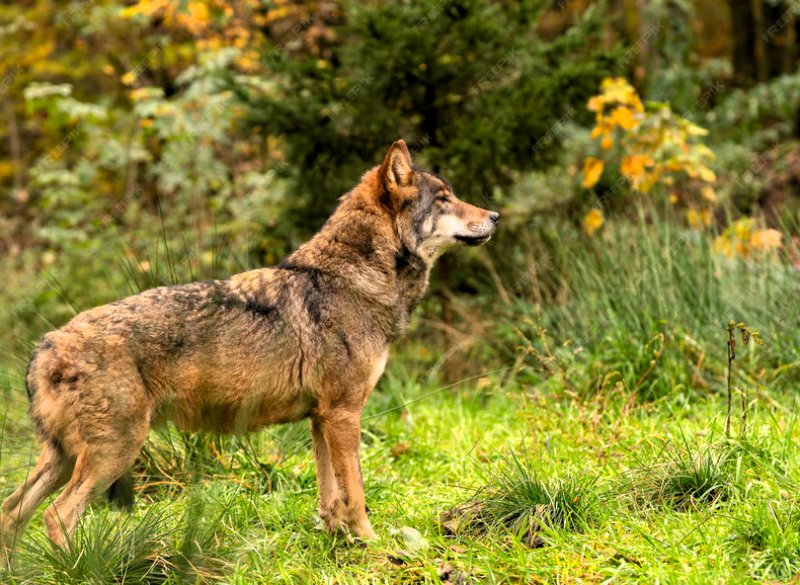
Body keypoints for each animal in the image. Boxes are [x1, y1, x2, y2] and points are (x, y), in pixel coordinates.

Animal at [0, 140, 498, 558]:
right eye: (444, 199)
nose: (495, 215)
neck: (353, 280)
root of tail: (45, 345)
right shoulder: (343, 414)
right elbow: (356, 494)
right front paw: (370, 545)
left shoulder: (321, 419)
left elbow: (330, 495)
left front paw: (337, 541)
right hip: (113, 453)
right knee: (55, 517)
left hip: (65, 459)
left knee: (11, 512)